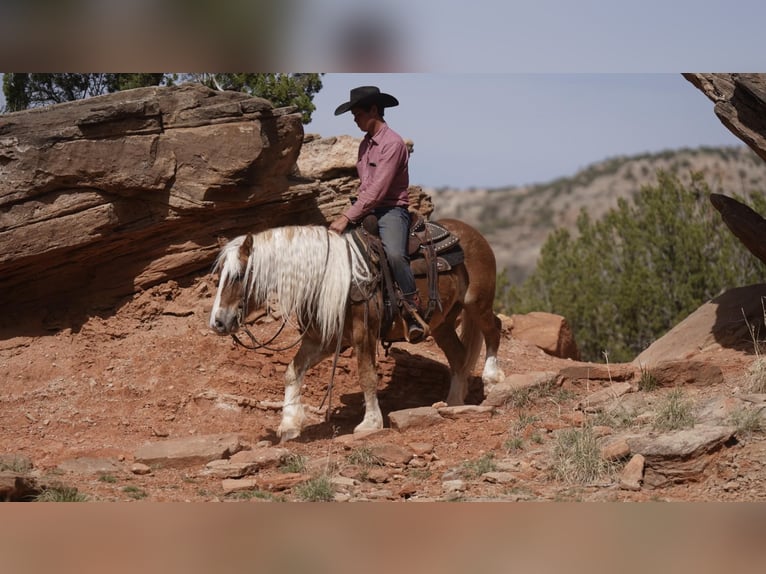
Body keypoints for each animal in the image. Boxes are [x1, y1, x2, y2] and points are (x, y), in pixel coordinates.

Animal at [210, 218, 508, 444]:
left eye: (238, 276)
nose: (218, 323)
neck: (328, 277)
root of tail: (472, 233)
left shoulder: (363, 334)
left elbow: (367, 376)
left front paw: (371, 423)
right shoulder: (322, 340)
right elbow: (292, 372)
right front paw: (289, 425)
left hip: (477, 304)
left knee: (494, 330)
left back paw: (493, 380)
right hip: (442, 323)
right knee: (458, 356)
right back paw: (455, 402)